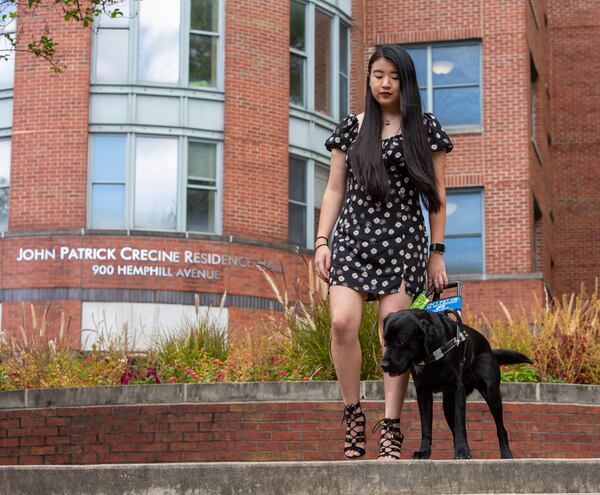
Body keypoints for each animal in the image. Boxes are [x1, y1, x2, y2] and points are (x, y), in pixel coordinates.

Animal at [382, 310, 532, 462]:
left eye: (400, 341)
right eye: (386, 342)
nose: (383, 365)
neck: (432, 352)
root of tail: (489, 347)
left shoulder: (457, 390)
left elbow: (460, 424)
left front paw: (462, 451)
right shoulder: (423, 394)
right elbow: (426, 427)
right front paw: (424, 451)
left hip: (492, 394)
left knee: (501, 429)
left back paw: (506, 455)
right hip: (448, 405)